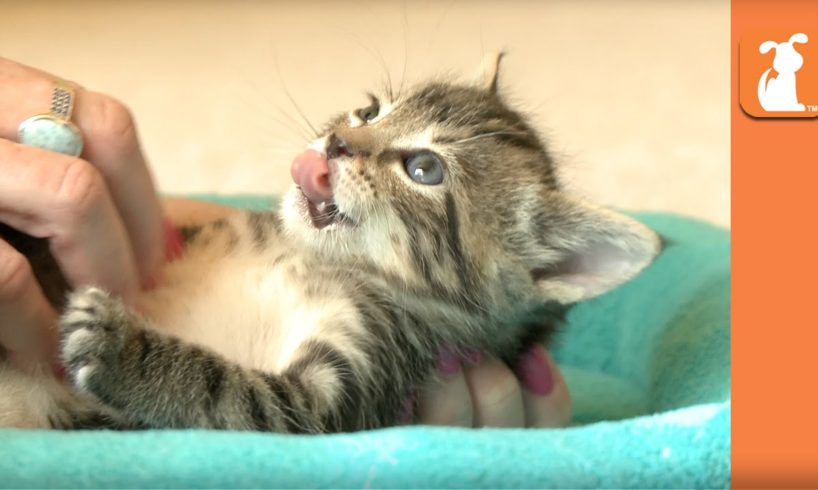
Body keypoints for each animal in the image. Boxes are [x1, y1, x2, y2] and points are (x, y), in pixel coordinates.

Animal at [0, 57, 660, 430]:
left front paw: (122, 348)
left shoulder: (351, 386)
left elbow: (239, 397)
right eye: (369, 111)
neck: (308, 262)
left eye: (424, 168)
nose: (336, 142)